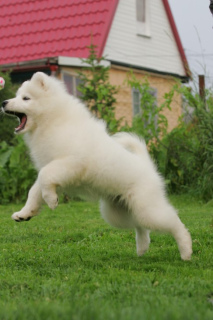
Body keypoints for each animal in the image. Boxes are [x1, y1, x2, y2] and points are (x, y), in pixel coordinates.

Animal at [1, 72, 192, 260]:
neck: (53, 121)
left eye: (26, 98)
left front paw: (51, 201)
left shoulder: (70, 163)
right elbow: (35, 189)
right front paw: (25, 213)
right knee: (141, 226)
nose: (3, 102)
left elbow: (44, 177)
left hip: (147, 209)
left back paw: (186, 251)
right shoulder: (56, 169)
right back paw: (143, 248)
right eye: (17, 96)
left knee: (174, 222)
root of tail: (146, 164)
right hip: (118, 214)